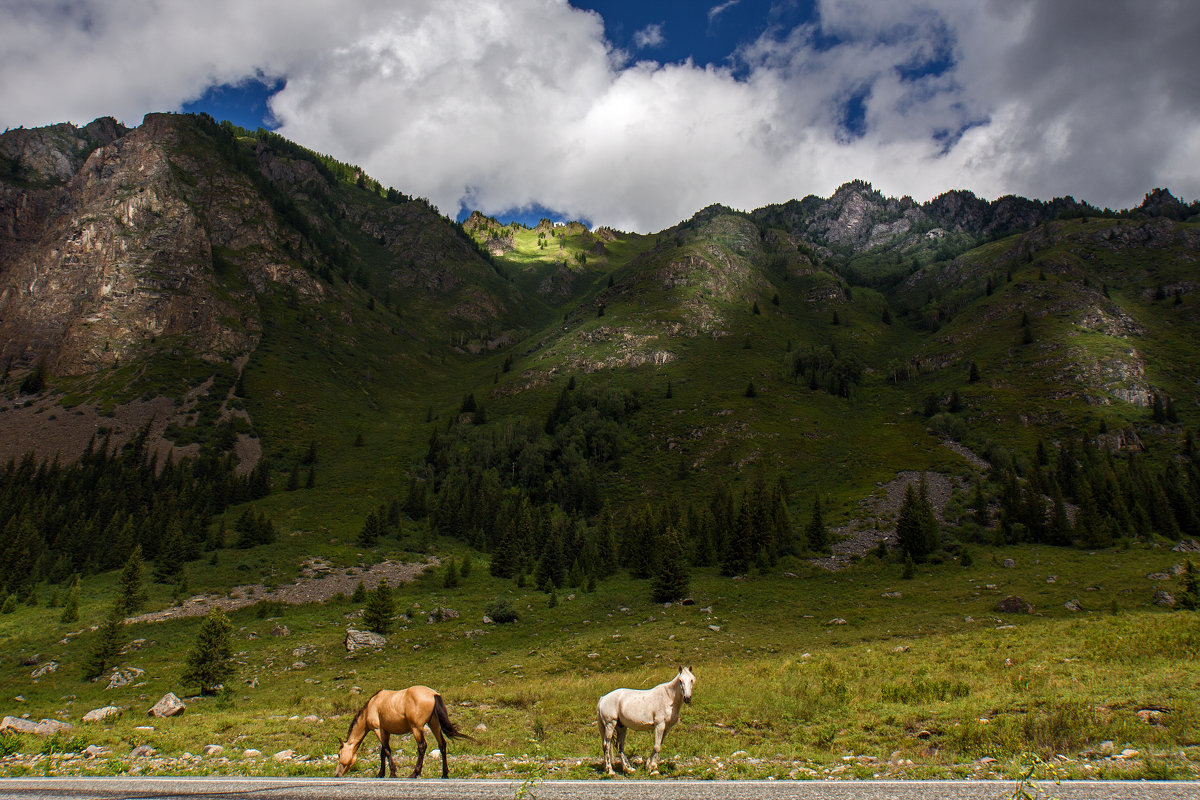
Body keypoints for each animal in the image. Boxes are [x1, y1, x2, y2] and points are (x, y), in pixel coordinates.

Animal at [338, 686, 472, 777]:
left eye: (339, 754)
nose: (337, 774)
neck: (372, 705)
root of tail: (433, 694)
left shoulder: (378, 729)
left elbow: (387, 750)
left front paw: (392, 773)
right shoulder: (386, 731)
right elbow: (383, 752)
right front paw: (381, 773)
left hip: (416, 728)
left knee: (422, 746)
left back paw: (415, 773)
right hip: (434, 724)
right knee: (442, 745)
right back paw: (444, 774)